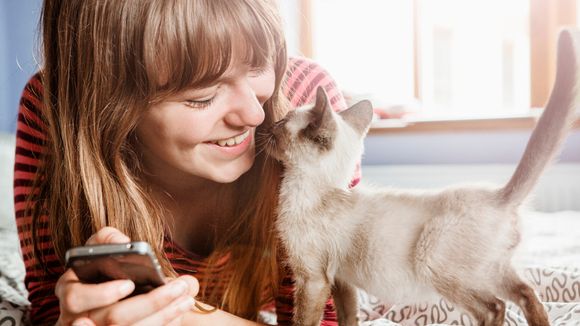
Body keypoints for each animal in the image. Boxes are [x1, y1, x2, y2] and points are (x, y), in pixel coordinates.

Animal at [266, 28, 580, 326]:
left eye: (283, 122)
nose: (270, 126)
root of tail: (500, 196)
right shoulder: (342, 280)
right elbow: (349, 316)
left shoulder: (313, 279)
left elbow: (302, 320)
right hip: (493, 271)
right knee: (527, 295)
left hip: (433, 262)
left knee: (494, 308)